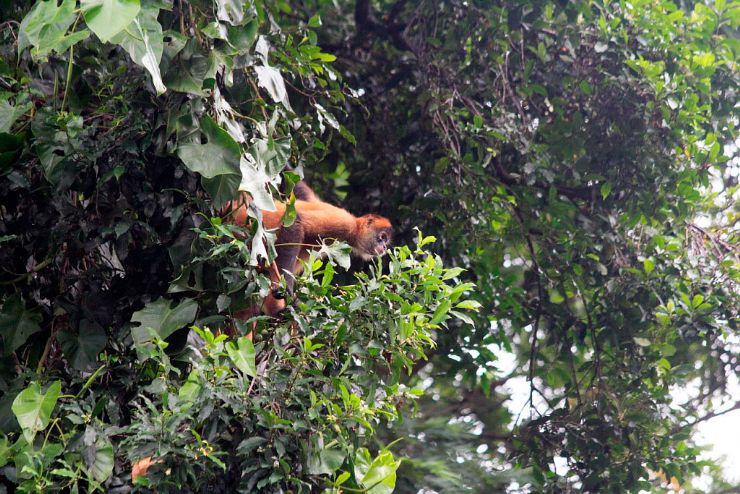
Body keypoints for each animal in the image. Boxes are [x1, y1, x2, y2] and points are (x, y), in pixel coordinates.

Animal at [228, 181, 394, 316]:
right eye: (382, 237)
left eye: (386, 241)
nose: (384, 246)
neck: (356, 225)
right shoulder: (346, 225)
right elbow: (297, 221)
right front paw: (285, 287)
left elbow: (303, 191)